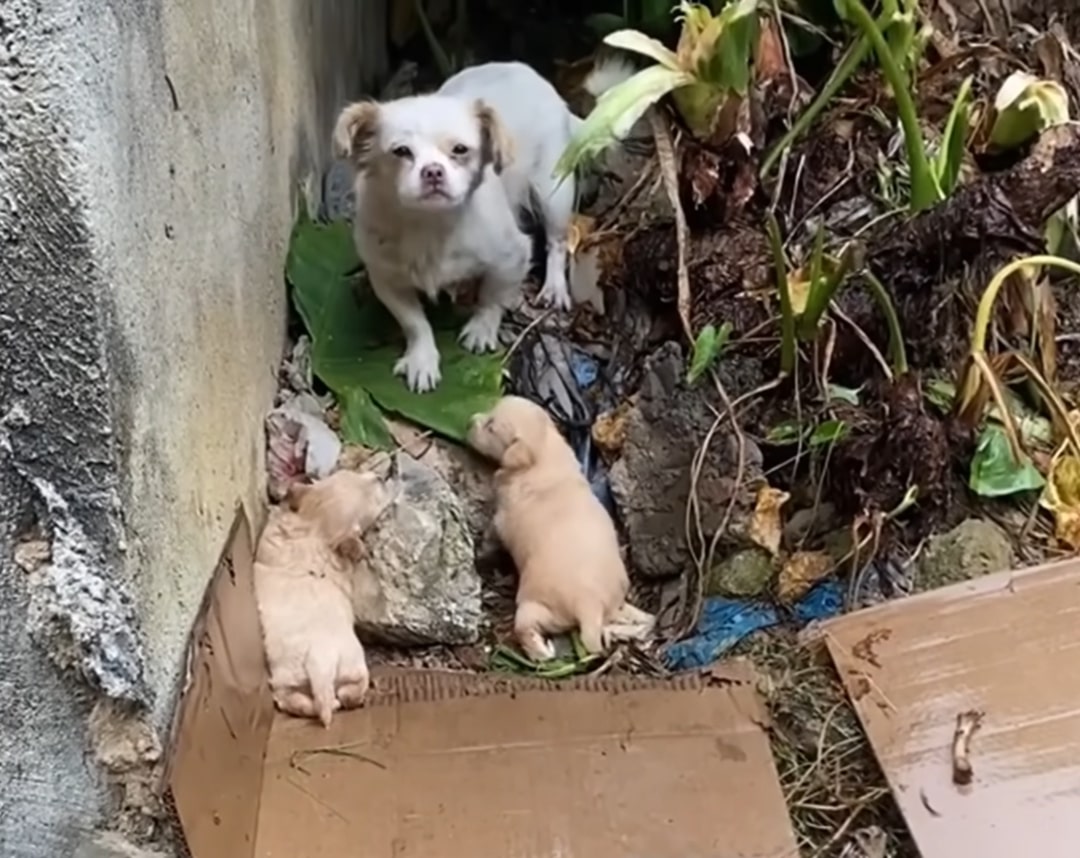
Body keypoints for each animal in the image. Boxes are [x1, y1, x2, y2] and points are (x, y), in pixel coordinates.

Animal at [250, 464, 390, 726]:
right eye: (375, 503)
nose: (380, 477)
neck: (315, 529)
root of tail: (321, 660)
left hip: (288, 677)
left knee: (297, 700)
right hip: (354, 667)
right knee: (350, 693)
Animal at [464, 395, 648, 661]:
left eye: (490, 427)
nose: (469, 421)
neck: (543, 452)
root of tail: (589, 605)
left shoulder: (500, 520)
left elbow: (490, 537)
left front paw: (480, 553)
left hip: (534, 609)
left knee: (526, 629)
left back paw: (541, 651)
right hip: (615, 602)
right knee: (632, 619)